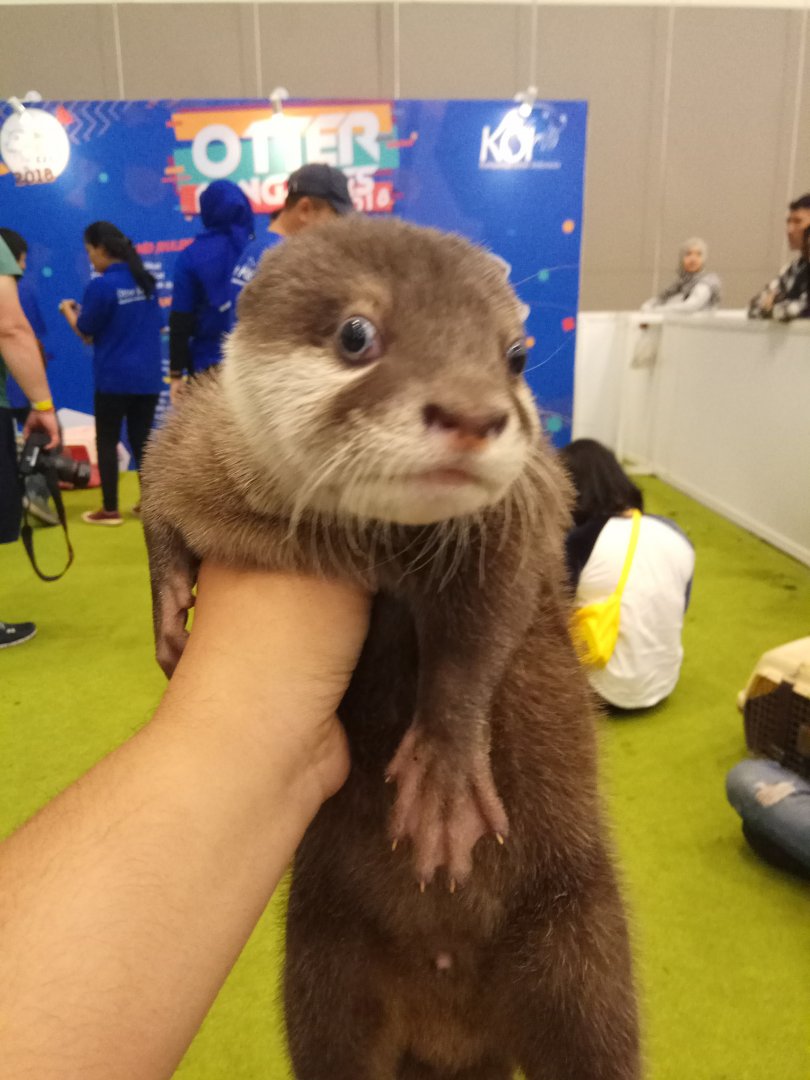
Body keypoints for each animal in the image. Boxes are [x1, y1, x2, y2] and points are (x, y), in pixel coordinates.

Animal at [141, 217, 639, 1079]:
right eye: (356, 334)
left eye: (514, 355)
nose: (474, 412)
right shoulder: (191, 441)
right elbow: (153, 492)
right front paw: (172, 606)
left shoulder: (526, 511)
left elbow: (481, 629)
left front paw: (445, 773)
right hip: (322, 972)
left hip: (583, 960)